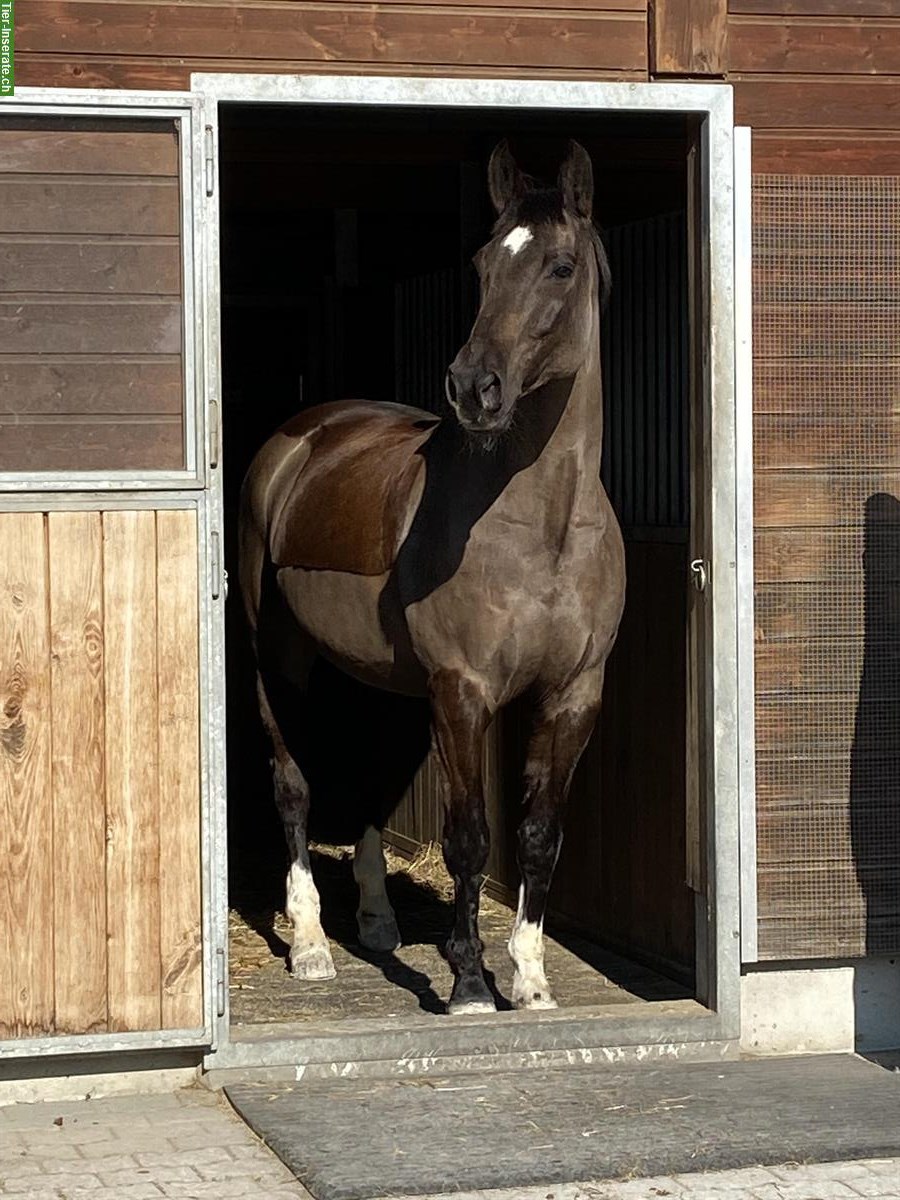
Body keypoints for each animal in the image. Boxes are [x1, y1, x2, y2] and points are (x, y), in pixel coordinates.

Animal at [240, 142, 628, 1022]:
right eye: (482, 265)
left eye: (559, 266)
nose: (473, 388)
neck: (543, 528)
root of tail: (297, 439)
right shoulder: (463, 689)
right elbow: (469, 838)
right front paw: (470, 983)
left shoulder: (574, 693)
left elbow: (538, 835)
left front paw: (531, 980)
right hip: (280, 661)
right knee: (294, 786)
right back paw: (311, 946)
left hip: (382, 681)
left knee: (371, 781)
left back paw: (377, 922)